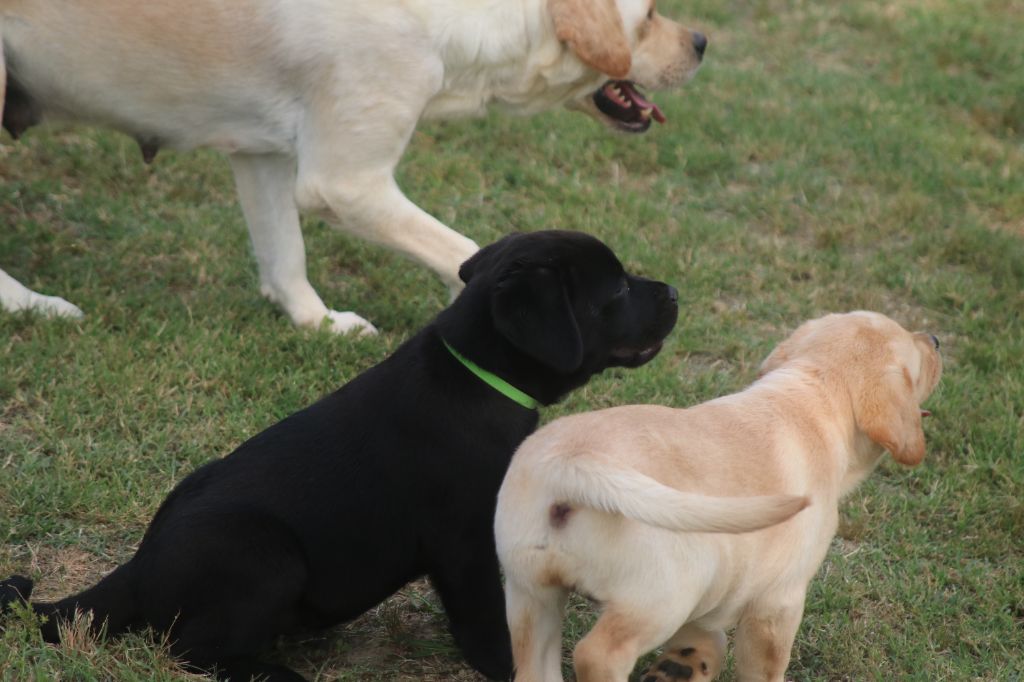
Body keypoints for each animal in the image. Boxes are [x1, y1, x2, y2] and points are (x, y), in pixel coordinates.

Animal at [0, 0, 704, 331]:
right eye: (648, 17)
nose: (702, 41)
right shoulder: (345, 184)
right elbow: (460, 249)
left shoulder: (262, 153)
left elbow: (284, 255)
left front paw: (317, 324)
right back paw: (34, 306)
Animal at [0, 229, 679, 679]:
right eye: (618, 289)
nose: (674, 290)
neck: (478, 373)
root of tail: (139, 568)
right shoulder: (462, 541)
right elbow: (485, 616)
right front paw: (506, 667)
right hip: (265, 556)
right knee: (192, 649)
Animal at [497, 311, 942, 679]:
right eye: (915, 353)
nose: (936, 338)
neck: (813, 390)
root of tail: (571, 463)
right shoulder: (778, 601)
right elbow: (764, 668)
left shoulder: (716, 590)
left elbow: (706, 640)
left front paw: (686, 666)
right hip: (660, 595)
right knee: (598, 654)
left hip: (529, 593)